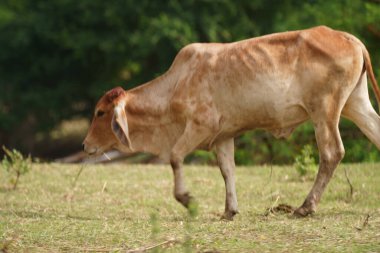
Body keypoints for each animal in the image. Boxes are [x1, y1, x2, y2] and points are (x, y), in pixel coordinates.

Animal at [83, 26, 380, 219]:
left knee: (331, 153)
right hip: (356, 104)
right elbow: (228, 170)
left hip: (324, 110)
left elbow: (176, 157)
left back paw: (306, 207)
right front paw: (230, 210)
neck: (176, 85)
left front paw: (188, 200)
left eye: (100, 113)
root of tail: (350, 38)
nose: (85, 145)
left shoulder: (200, 126)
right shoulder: (223, 135)